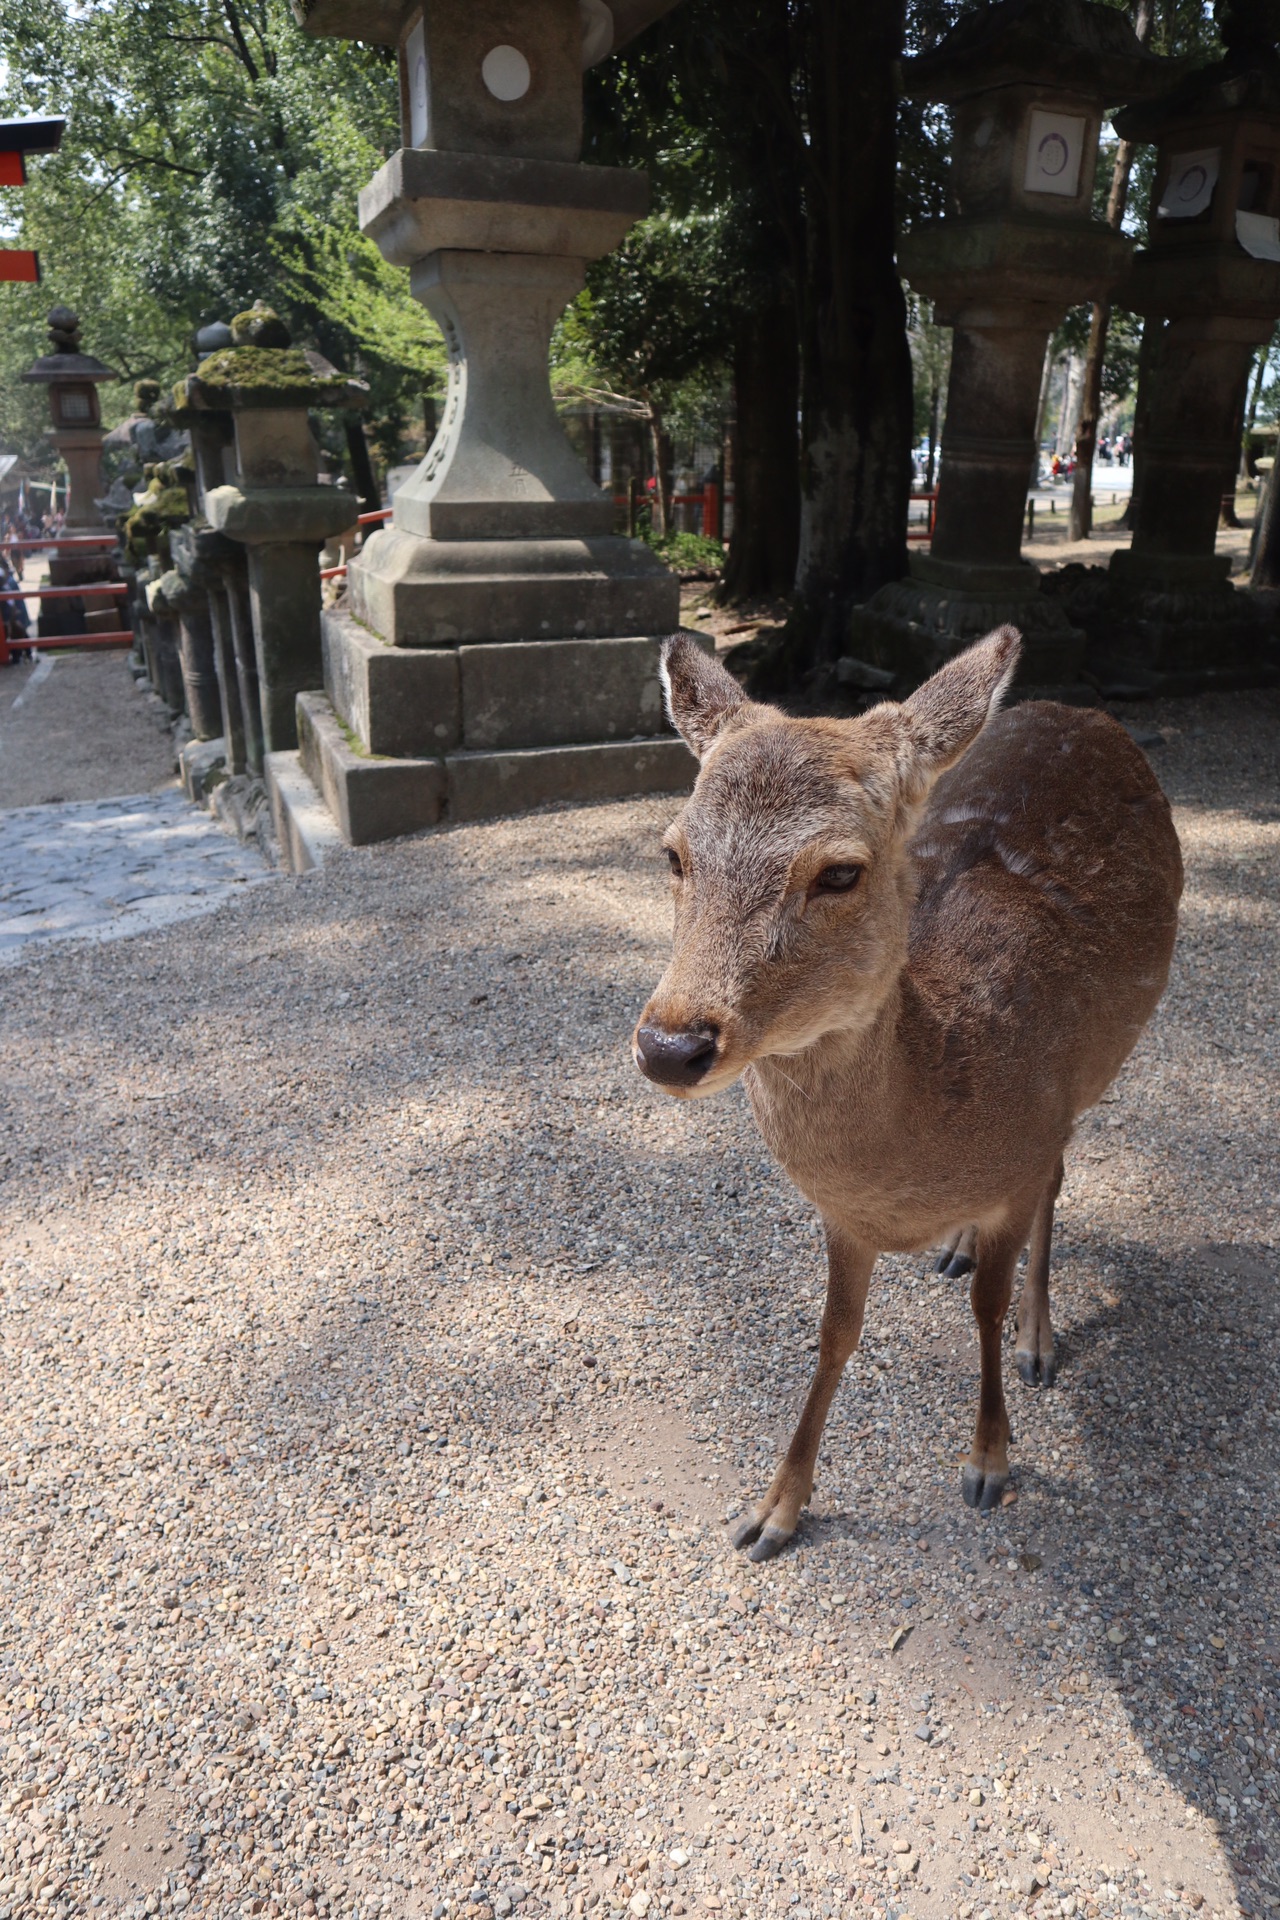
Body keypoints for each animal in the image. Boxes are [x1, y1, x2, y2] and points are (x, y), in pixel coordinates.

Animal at [637, 629, 1189, 1559]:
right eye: (674, 853)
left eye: (839, 873)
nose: (671, 1045)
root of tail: (1084, 710)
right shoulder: (843, 1216)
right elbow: (834, 1335)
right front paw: (774, 1510)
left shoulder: (1031, 1130)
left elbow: (986, 1303)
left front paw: (989, 1462)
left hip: (1090, 1077)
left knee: (1058, 1182)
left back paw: (1039, 1340)